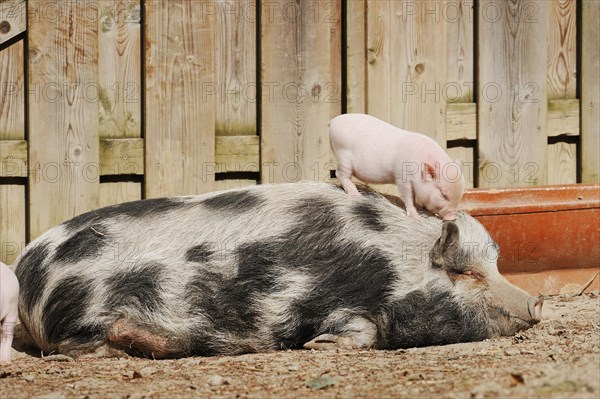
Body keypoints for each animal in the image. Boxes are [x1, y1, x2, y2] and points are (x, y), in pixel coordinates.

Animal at [12, 183, 544, 358]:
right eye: (465, 274)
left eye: (494, 266)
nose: (537, 301)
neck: (389, 264)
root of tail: (26, 268)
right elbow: (357, 331)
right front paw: (317, 346)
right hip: (82, 320)